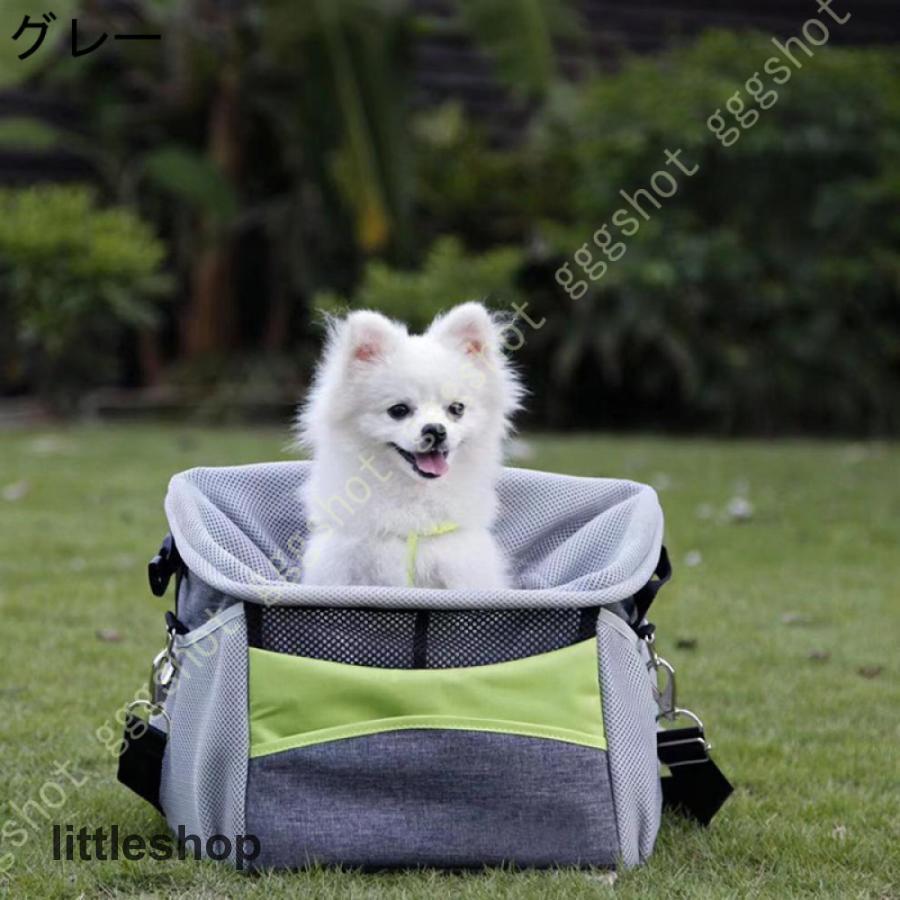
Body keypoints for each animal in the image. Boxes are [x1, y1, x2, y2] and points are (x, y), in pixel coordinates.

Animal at [298, 302, 520, 592]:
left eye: (456, 409)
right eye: (399, 410)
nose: (435, 430)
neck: (414, 497)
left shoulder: (463, 569)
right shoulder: (340, 566)